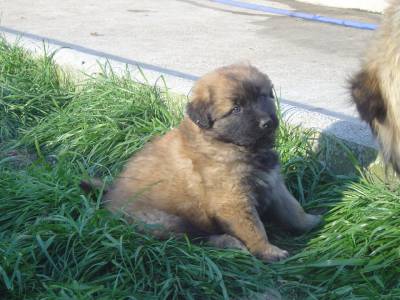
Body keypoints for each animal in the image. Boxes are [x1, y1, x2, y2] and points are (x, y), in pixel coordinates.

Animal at [104, 63, 322, 262]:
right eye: (236, 109)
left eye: (263, 96)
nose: (267, 122)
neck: (229, 144)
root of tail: (108, 201)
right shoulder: (233, 200)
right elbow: (254, 228)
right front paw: (269, 251)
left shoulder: (273, 182)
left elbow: (293, 209)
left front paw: (312, 221)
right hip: (164, 220)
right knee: (195, 239)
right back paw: (230, 243)